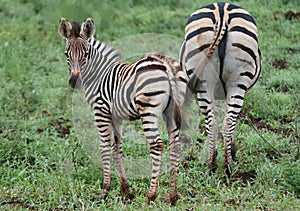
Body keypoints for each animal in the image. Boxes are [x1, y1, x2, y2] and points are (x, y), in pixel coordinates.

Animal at [58, 17, 188, 204]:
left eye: (86, 54)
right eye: (66, 54)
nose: (74, 82)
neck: (98, 74)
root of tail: (165, 65)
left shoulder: (100, 111)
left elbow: (104, 146)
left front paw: (105, 190)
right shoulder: (116, 116)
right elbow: (116, 147)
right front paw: (125, 190)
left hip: (148, 110)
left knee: (157, 145)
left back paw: (151, 195)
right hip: (170, 112)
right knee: (175, 145)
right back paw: (173, 195)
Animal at [179, 2, 262, 172]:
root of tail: (222, 11)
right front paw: (232, 149)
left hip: (207, 83)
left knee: (216, 121)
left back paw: (214, 163)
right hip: (236, 81)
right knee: (227, 120)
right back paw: (226, 163)